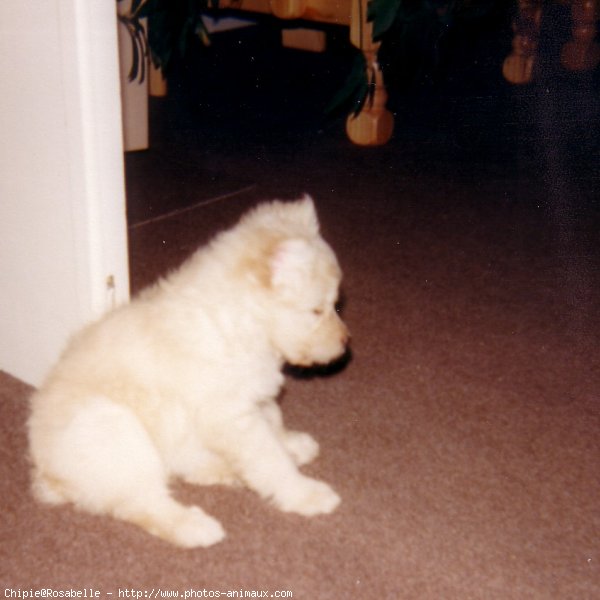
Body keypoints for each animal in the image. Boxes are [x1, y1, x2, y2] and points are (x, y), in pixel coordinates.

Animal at [28, 197, 350, 548]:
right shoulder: (230, 415)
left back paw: (229, 473)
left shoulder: (253, 397)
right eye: (316, 311)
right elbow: (269, 458)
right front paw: (305, 493)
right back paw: (196, 526)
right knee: (143, 503)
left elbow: (274, 425)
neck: (240, 320)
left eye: (335, 304)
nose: (345, 343)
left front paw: (293, 445)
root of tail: (48, 476)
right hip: (117, 434)